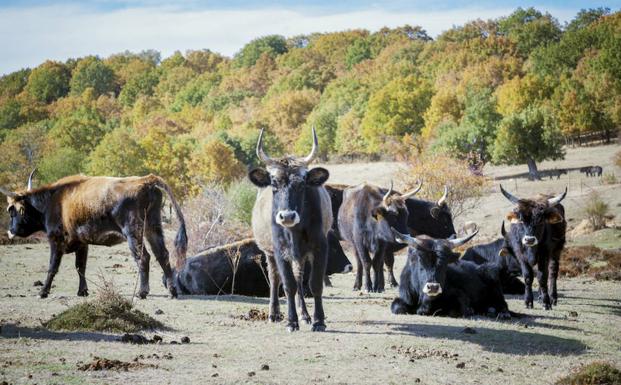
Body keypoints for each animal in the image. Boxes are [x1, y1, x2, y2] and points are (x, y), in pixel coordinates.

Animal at [1, 170, 188, 298]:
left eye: (12, 211)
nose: (10, 232)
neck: (52, 201)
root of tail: (145, 180)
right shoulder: (82, 243)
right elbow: (80, 267)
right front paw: (82, 291)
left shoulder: (56, 240)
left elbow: (52, 267)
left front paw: (43, 291)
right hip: (152, 228)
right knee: (162, 255)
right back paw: (172, 291)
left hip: (133, 232)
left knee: (143, 258)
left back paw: (142, 292)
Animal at [248, 126, 332, 330]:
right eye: (274, 184)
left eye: (301, 184)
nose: (287, 216)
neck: (294, 231)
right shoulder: (279, 250)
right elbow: (288, 284)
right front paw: (291, 321)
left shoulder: (320, 246)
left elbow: (315, 283)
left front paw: (318, 320)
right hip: (269, 253)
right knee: (274, 278)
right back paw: (274, 313)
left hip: (299, 256)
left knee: (299, 278)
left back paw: (305, 314)